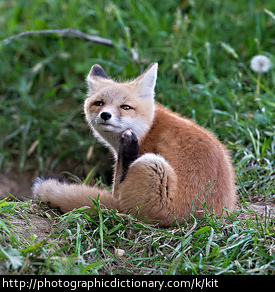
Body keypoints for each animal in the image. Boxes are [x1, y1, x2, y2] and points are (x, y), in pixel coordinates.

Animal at [32, 63, 238, 226]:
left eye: (125, 107)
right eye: (99, 103)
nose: (105, 115)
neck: (148, 129)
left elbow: (116, 185)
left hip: (151, 165)